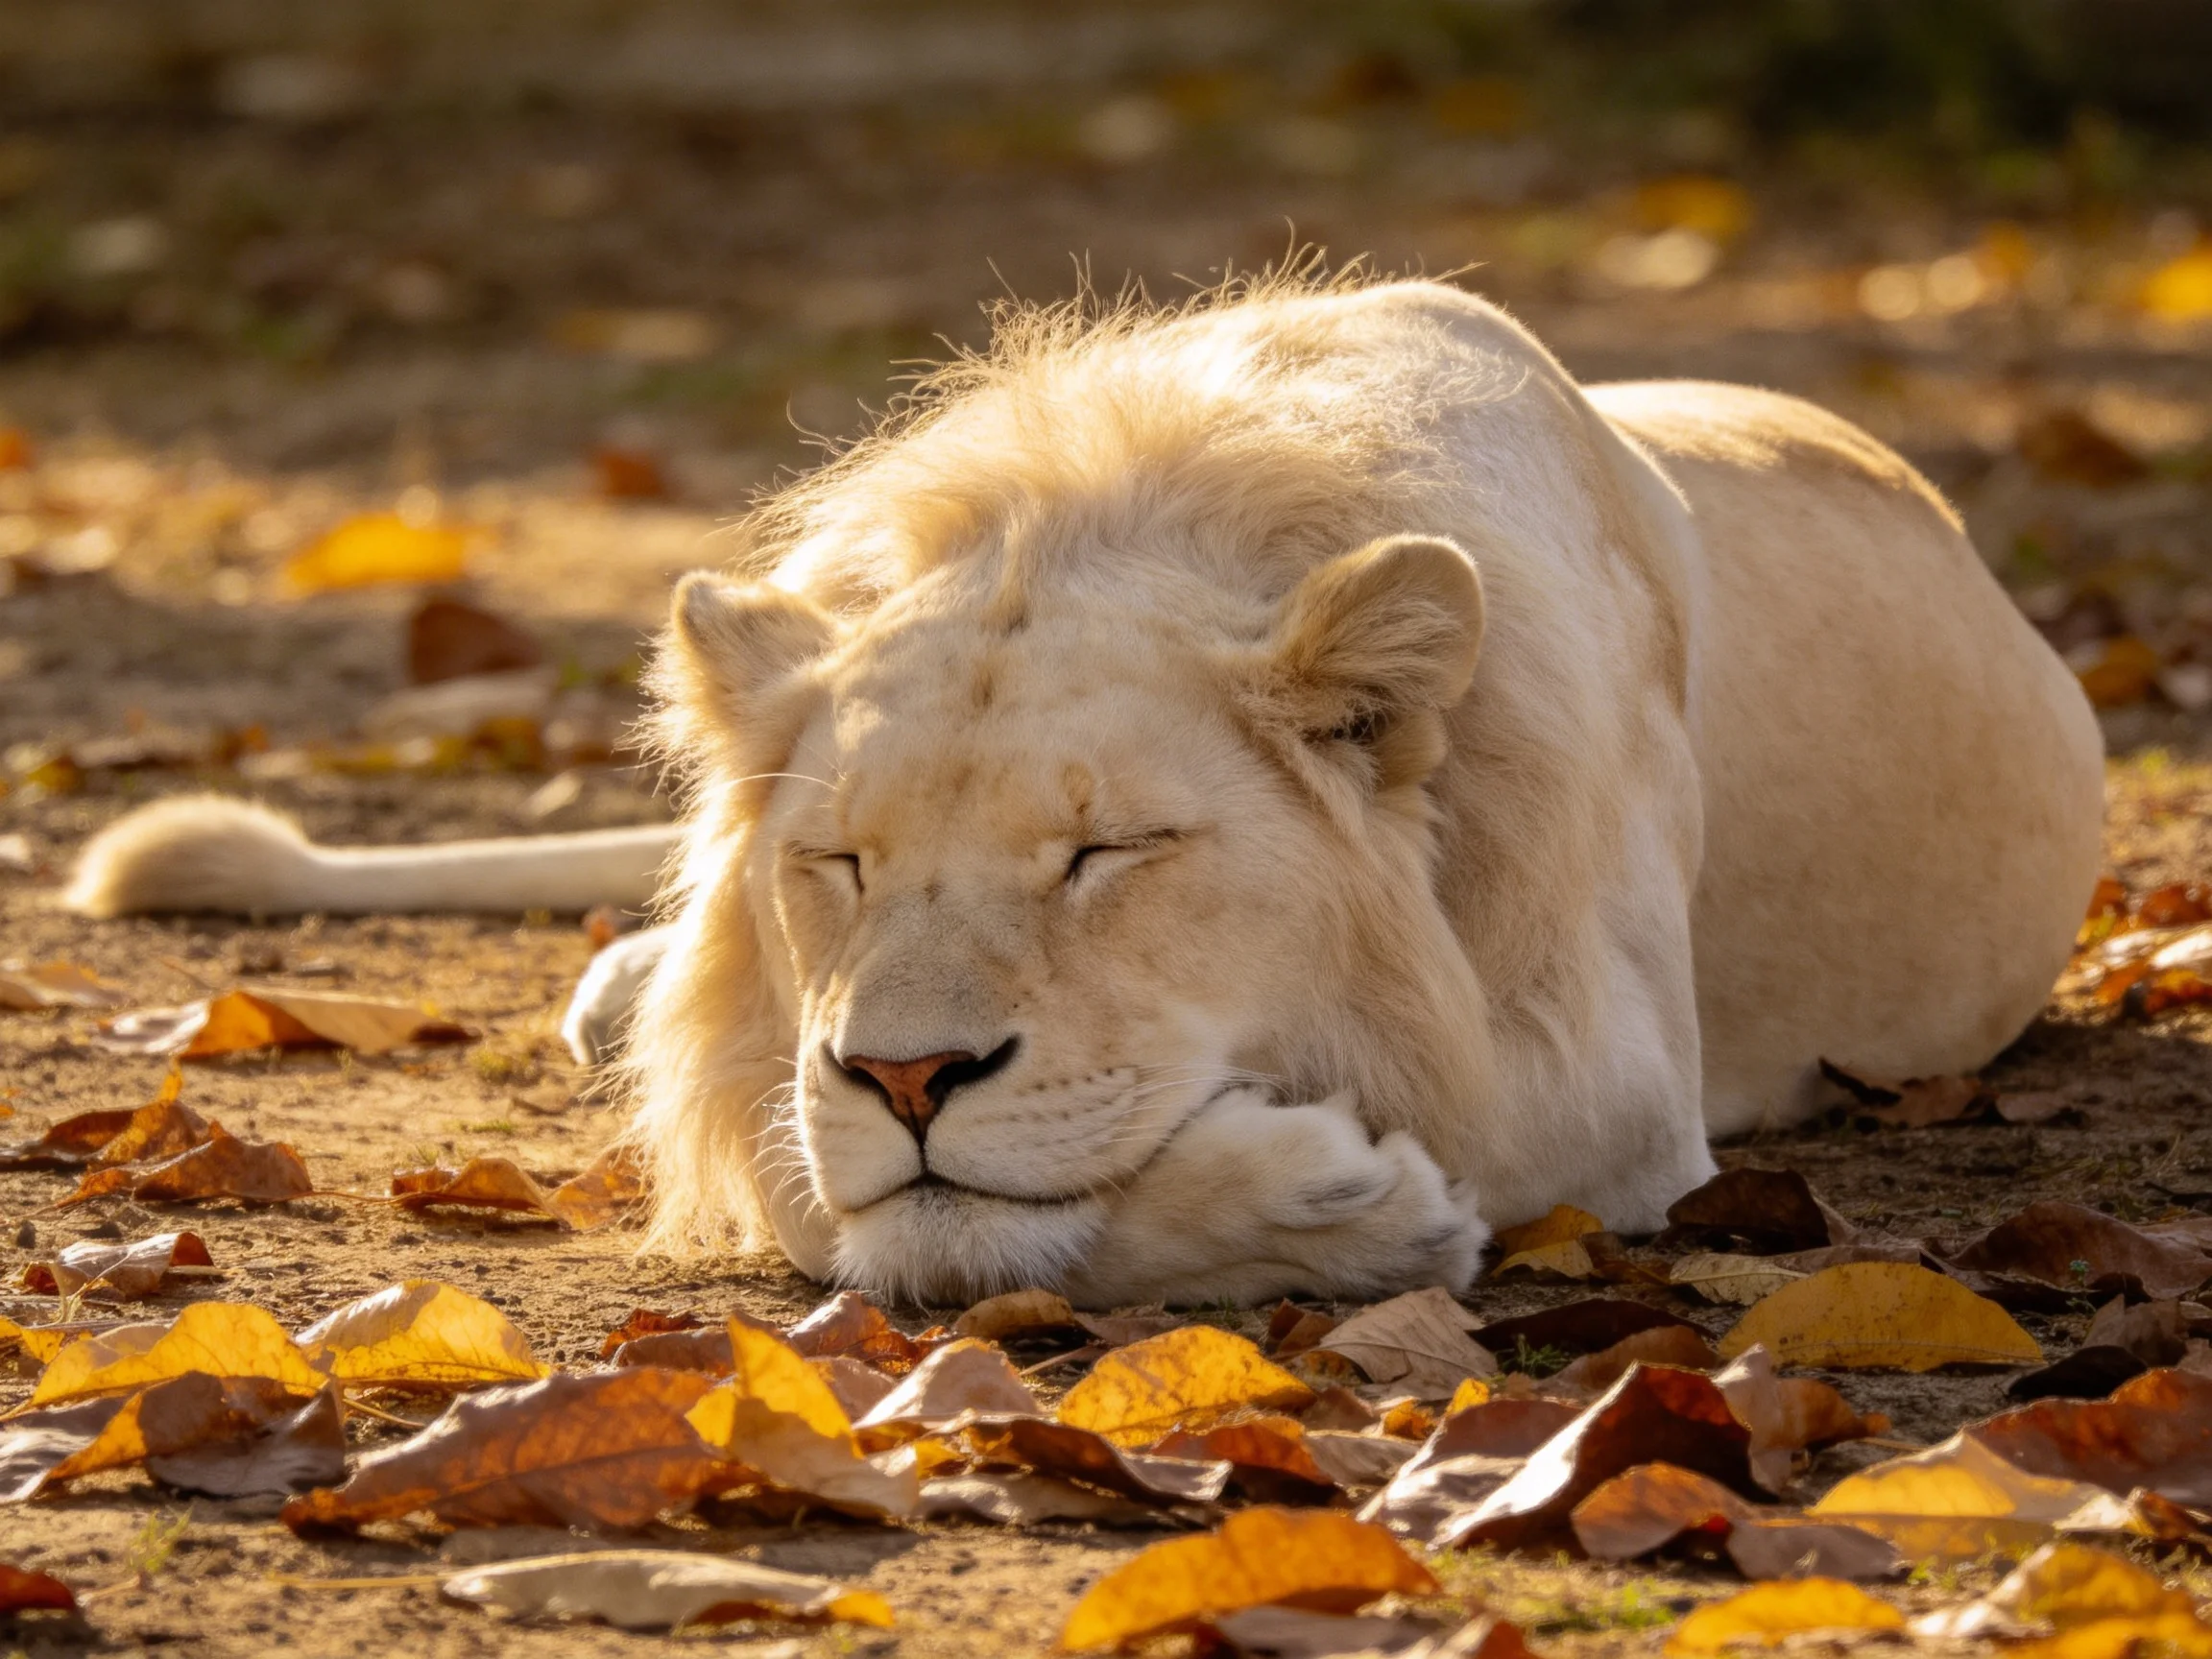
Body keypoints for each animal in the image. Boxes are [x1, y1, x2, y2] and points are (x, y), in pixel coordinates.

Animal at [66, 278, 2104, 1307]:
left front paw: (1328, 1193)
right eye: (838, 862)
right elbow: (806, 1152)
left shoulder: (1613, 1070)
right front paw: (1305, 1196)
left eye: (1099, 853)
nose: (903, 1074)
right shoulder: (776, 1061)